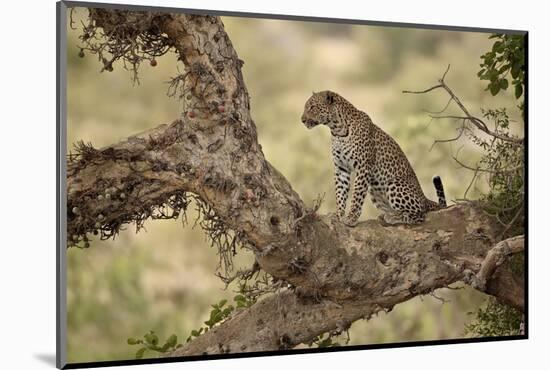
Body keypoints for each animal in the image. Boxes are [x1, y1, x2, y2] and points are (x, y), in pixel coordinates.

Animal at [302, 91, 448, 227]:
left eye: (312, 107)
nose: (302, 120)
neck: (337, 130)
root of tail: (424, 198)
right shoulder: (341, 167)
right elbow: (340, 193)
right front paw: (339, 215)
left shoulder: (363, 167)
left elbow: (357, 195)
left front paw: (351, 218)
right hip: (374, 190)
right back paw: (386, 215)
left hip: (393, 183)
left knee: (419, 216)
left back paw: (393, 217)